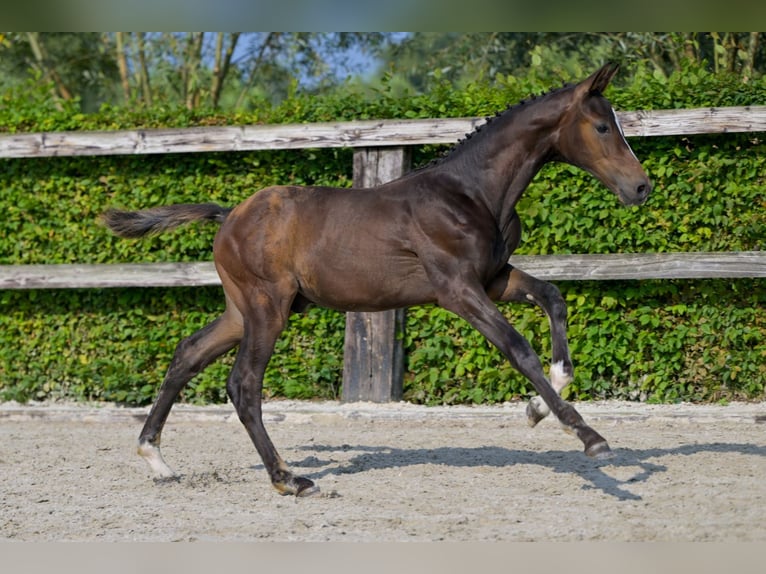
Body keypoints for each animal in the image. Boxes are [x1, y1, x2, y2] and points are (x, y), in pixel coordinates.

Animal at [103, 62, 656, 496]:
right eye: (602, 126)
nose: (641, 187)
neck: (471, 193)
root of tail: (229, 217)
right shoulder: (457, 290)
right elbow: (518, 347)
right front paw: (586, 434)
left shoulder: (494, 278)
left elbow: (553, 296)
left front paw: (538, 408)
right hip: (267, 308)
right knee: (243, 384)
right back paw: (288, 479)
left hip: (246, 310)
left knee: (188, 354)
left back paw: (156, 459)